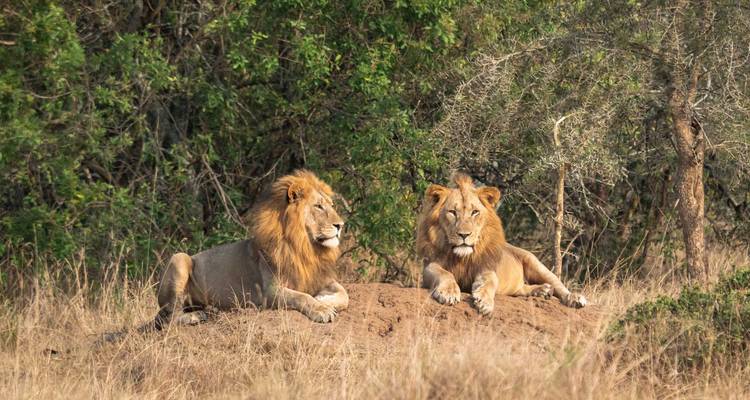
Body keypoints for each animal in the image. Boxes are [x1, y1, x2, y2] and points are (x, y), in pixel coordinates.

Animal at [151, 170, 348, 327]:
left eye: (331, 205)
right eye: (318, 206)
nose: (341, 225)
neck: (306, 247)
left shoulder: (319, 278)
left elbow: (344, 294)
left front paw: (323, 300)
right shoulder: (270, 292)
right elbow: (301, 297)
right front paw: (322, 309)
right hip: (179, 258)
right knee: (168, 318)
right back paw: (195, 316)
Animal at [416, 173, 587, 315]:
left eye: (475, 212)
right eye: (452, 212)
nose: (464, 235)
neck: (463, 257)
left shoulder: (487, 267)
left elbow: (490, 280)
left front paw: (484, 301)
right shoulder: (430, 265)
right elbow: (444, 273)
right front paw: (449, 292)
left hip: (535, 264)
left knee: (559, 285)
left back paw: (574, 298)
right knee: (520, 289)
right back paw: (542, 291)